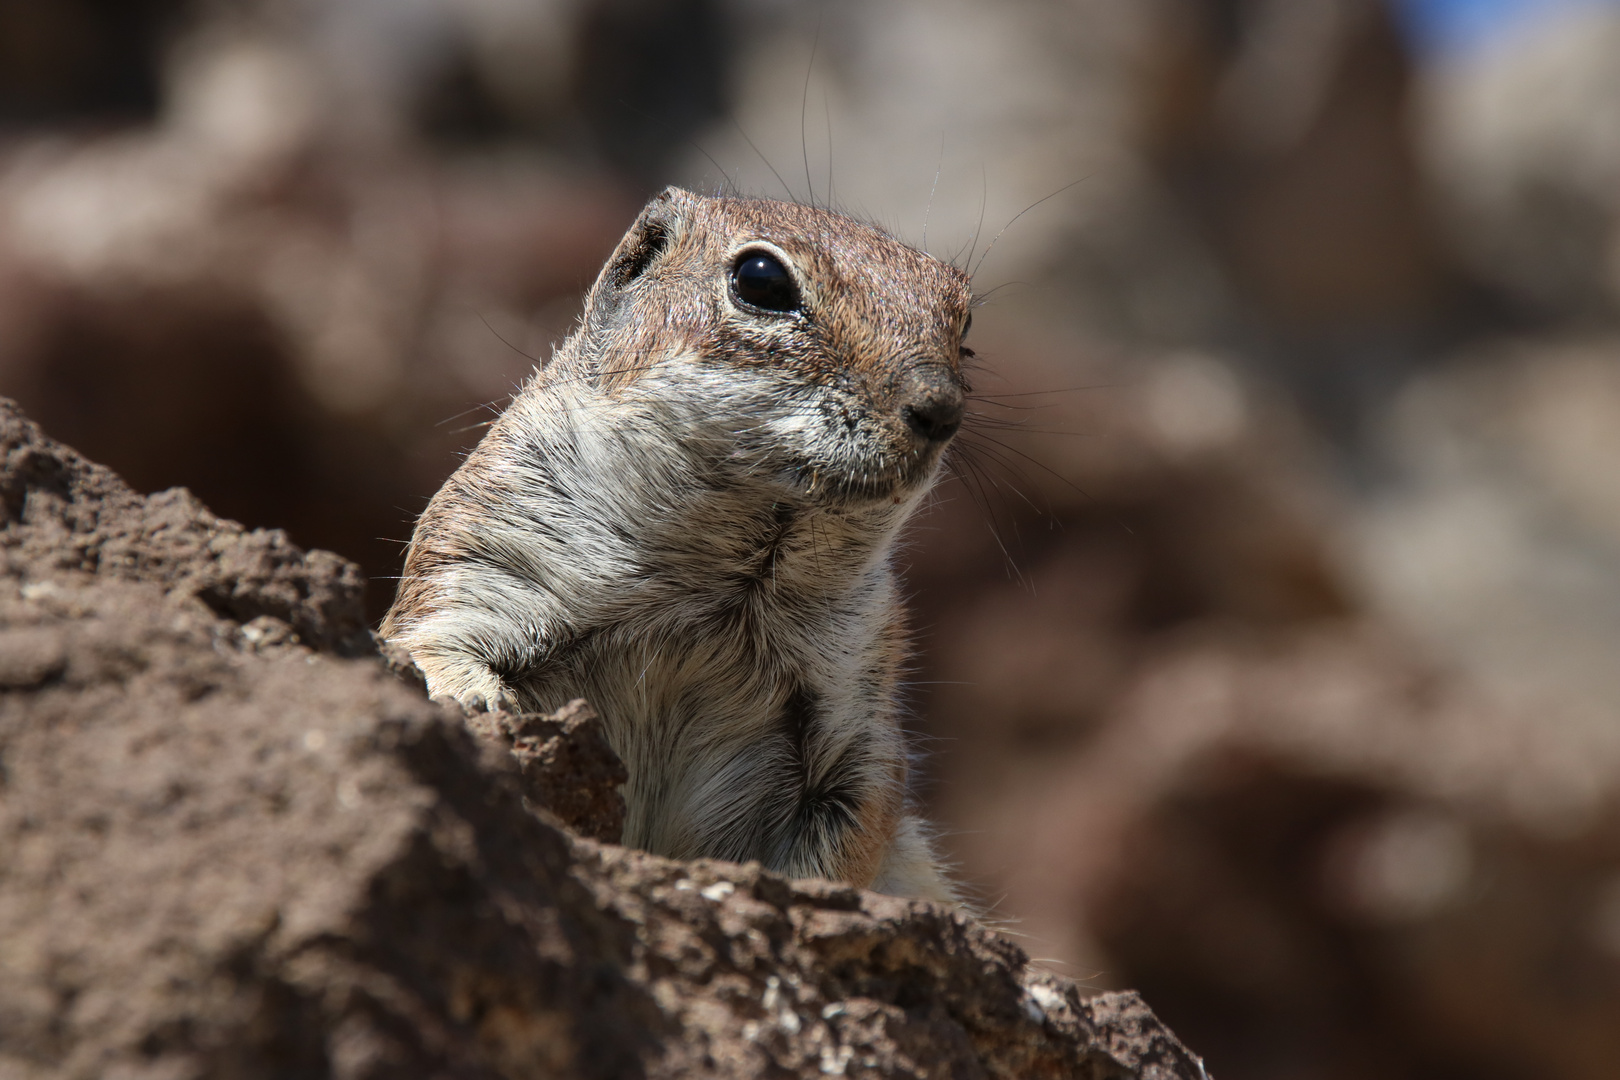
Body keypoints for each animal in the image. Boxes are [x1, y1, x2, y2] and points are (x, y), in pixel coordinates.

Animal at [385, 186, 965, 906]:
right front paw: (475, 702)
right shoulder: (478, 550)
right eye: (761, 280)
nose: (941, 408)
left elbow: (856, 824)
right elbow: (428, 640)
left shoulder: (861, 706)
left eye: (966, 328)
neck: (728, 586)